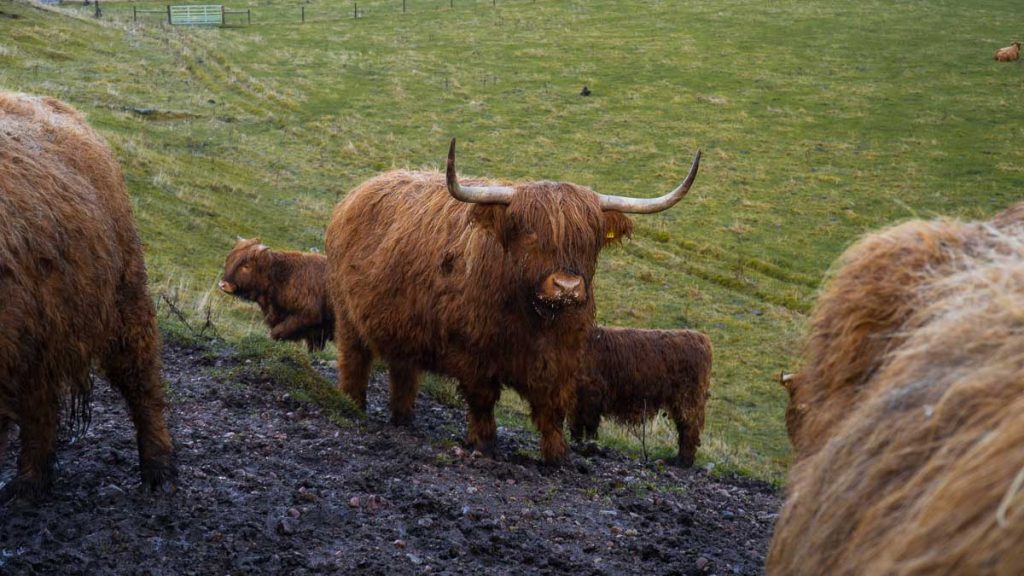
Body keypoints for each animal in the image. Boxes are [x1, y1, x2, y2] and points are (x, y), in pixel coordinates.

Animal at [0, 89, 175, 498]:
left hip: (123, 293)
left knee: (141, 377)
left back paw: (159, 470)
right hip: (43, 319)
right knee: (40, 400)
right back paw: (30, 481)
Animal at [569, 325, 712, 463]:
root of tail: (701, 338)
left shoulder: (592, 394)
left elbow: (589, 427)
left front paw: (590, 447)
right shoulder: (576, 400)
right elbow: (576, 426)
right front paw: (576, 445)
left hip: (688, 399)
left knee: (689, 429)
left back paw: (683, 461)